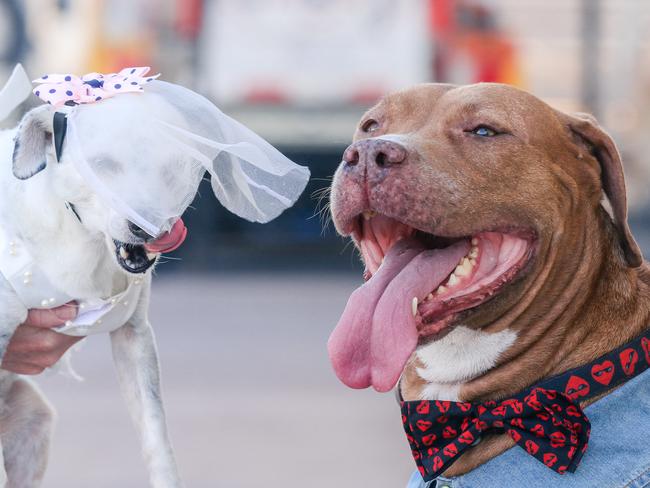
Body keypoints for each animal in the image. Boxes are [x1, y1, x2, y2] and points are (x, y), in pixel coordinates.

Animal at [0, 66, 308, 488]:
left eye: (172, 166)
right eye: (102, 164)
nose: (147, 228)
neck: (81, 237)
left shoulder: (134, 337)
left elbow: (157, 437)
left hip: (34, 422)